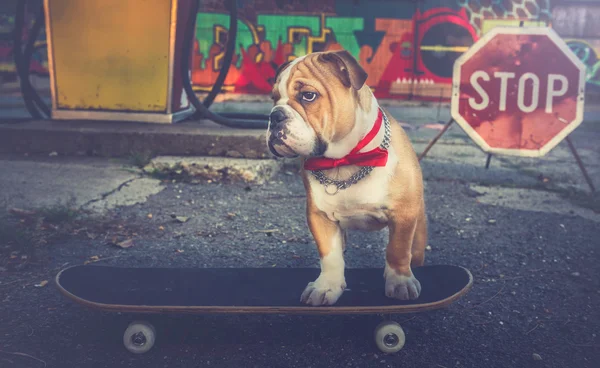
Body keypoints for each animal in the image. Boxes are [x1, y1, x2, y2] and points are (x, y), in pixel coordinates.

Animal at [268, 50, 426, 306]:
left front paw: (400, 281)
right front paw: (327, 286)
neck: (345, 161)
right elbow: (330, 256)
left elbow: (398, 249)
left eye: (308, 96)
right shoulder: (319, 216)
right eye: (273, 99)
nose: (275, 116)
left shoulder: (403, 214)